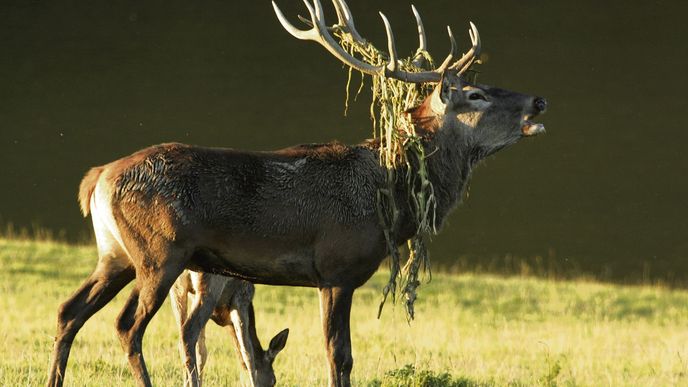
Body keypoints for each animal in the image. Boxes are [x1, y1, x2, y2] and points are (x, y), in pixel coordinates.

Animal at [44, 0, 548, 387]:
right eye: (477, 94)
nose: (539, 101)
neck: (391, 203)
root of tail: (97, 178)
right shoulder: (337, 268)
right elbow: (339, 355)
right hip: (160, 252)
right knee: (127, 325)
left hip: (115, 254)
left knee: (70, 311)